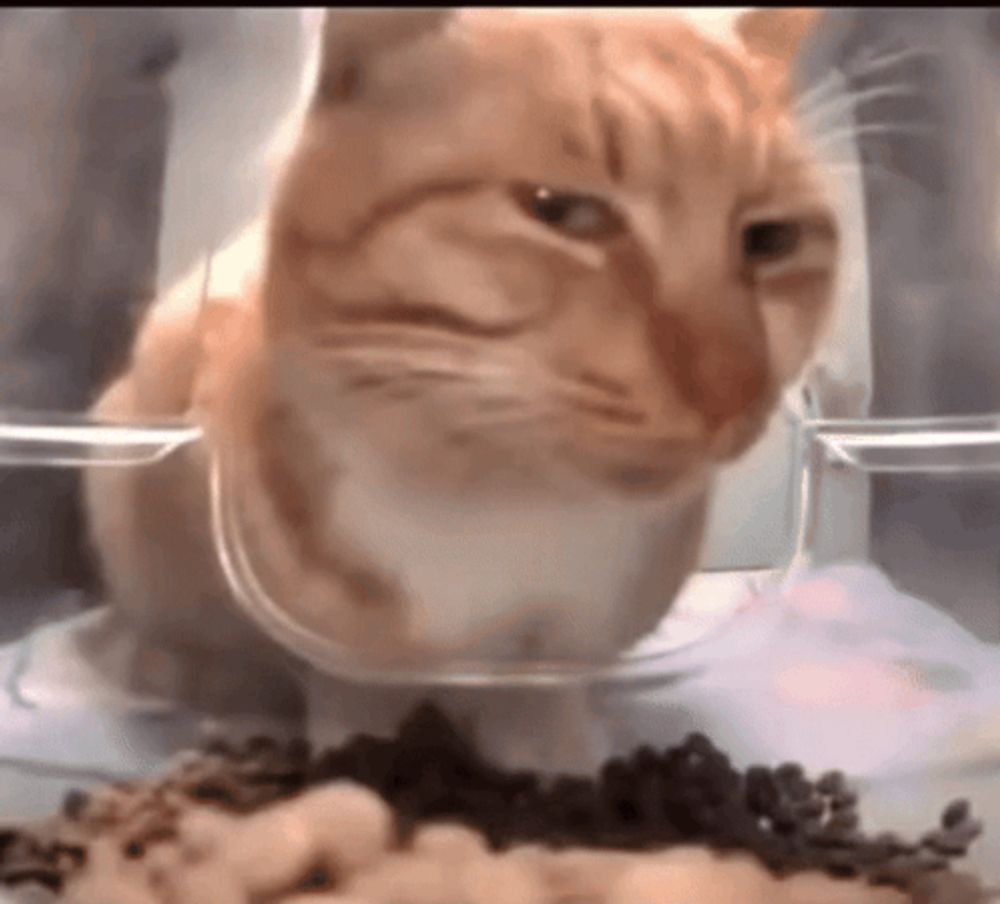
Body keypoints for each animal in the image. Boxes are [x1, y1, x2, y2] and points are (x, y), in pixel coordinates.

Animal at [82, 7, 840, 768]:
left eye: (770, 239)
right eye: (560, 211)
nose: (732, 390)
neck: (494, 504)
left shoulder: (552, 659)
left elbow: (542, 714)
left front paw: (561, 763)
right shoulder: (338, 659)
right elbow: (349, 707)